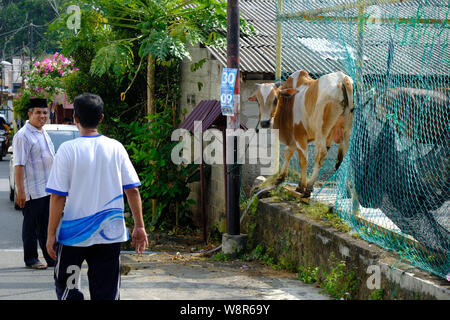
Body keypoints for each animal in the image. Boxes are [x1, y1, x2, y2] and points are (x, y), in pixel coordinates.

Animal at [248, 70, 354, 198]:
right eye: (258, 101)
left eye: (275, 99)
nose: (264, 123)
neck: (289, 102)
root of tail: (342, 78)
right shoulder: (294, 139)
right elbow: (288, 153)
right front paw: (282, 178)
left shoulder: (299, 135)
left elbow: (303, 160)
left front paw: (301, 187)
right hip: (347, 129)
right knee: (344, 156)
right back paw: (346, 191)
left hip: (321, 132)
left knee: (321, 153)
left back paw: (309, 187)